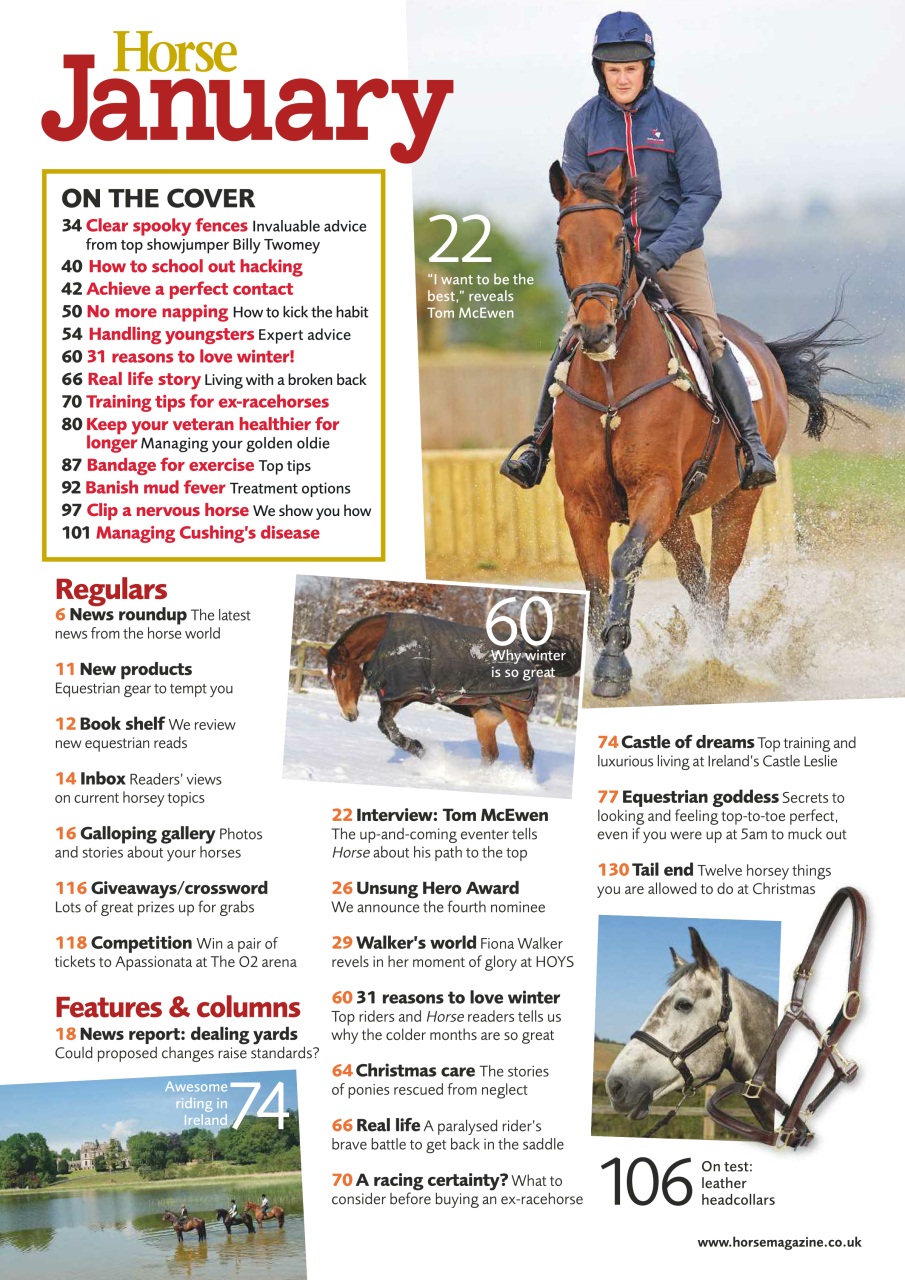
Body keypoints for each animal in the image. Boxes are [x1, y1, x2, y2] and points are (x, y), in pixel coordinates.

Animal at [325, 612, 581, 770]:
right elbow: (385, 726)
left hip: (514, 712)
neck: (388, 642)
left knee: (526, 753)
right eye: (331, 680)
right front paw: (417, 749)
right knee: (490, 754)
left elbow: (387, 726)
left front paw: (418, 749)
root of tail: (529, 657)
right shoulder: (398, 696)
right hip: (485, 717)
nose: (349, 715)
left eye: (344, 674)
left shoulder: (406, 693)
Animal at [547, 157, 863, 698]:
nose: (595, 332)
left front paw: (613, 665)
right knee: (696, 579)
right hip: (676, 515)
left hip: (736, 500)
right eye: (563, 244)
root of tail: (760, 346)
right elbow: (595, 581)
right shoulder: (583, 504)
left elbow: (625, 560)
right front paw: (595, 663)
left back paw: (718, 662)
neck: (611, 383)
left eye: (619, 240)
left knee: (718, 584)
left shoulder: (654, 488)